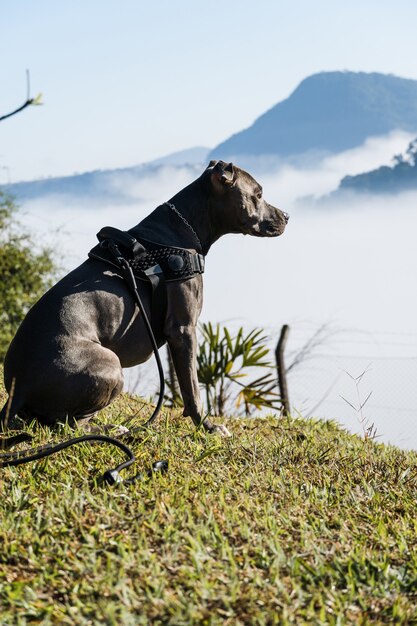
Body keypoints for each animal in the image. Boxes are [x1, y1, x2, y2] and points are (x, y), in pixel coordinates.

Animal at [0, 158, 288, 436]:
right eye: (258, 194)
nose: (286, 215)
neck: (184, 226)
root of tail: (17, 388)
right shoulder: (183, 330)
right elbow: (192, 388)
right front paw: (207, 427)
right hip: (110, 364)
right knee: (67, 424)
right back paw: (113, 428)